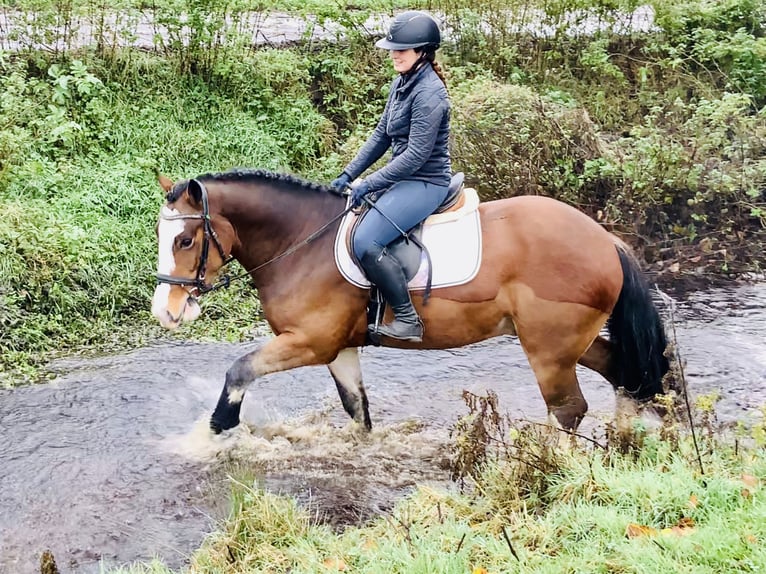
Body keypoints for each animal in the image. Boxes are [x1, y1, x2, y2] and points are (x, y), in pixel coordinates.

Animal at [151, 168, 669, 435]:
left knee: (568, 410)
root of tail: (605, 240)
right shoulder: (340, 349)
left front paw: (216, 431)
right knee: (624, 373)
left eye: (184, 240)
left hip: (548, 348)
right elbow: (357, 411)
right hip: (570, 341)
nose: (165, 312)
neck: (301, 243)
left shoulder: (310, 343)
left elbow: (239, 371)